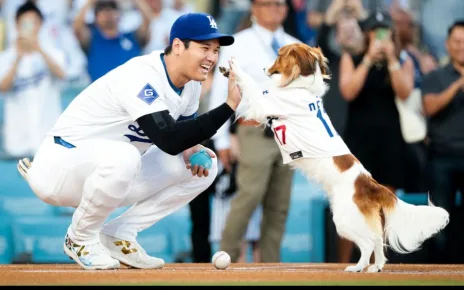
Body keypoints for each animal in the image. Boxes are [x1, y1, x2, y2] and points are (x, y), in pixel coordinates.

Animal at [221, 42, 450, 272]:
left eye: (279, 56)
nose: (264, 68)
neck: (301, 86)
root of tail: (372, 184)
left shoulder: (263, 102)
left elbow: (250, 84)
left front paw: (233, 66)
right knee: (377, 239)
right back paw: (375, 267)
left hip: (344, 219)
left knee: (367, 243)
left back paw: (357, 267)